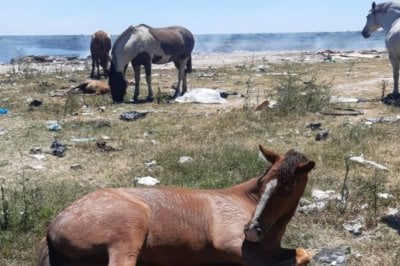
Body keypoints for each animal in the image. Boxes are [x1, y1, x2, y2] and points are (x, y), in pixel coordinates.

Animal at [36, 147, 314, 264]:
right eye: (264, 180)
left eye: (289, 187)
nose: (252, 230)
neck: (246, 199)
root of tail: (53, 226)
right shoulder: (234, 248)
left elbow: (302, 253)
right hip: (126, 237)